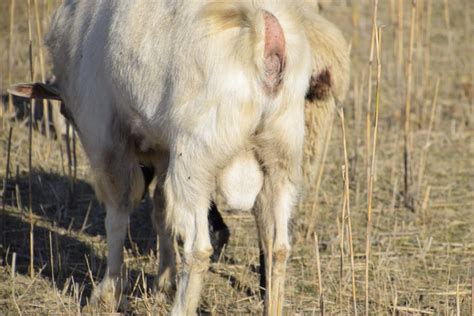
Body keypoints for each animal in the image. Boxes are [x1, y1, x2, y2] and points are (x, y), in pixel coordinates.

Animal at [9, 0, 350, 314]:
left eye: (68, 113)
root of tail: (269, 36)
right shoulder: (161, 149)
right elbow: (161, 209)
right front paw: (164, 278)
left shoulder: (106, 136)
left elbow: (118, 213)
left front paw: (108, 292)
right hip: (281, 154)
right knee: (276, 246)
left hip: (196, 156)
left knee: (200, 247)